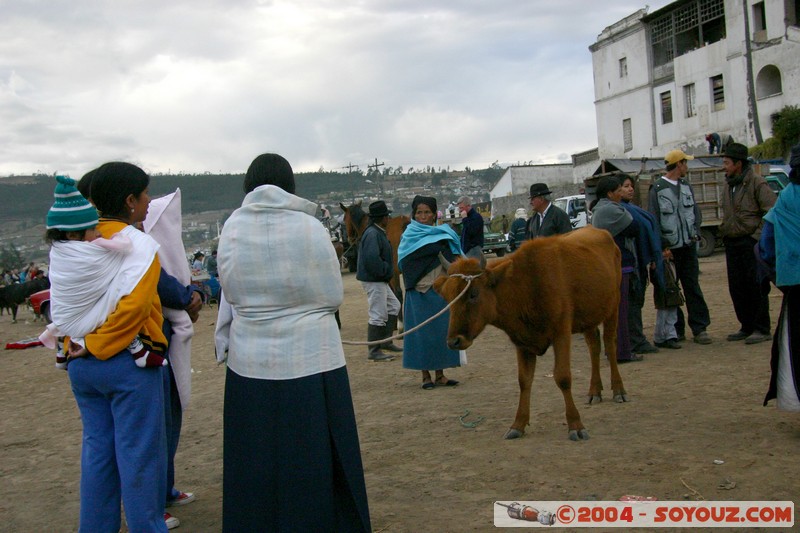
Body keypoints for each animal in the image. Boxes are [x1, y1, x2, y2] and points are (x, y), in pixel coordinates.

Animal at [434, 227, 628, 438]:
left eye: (473, 294)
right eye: (447, 297)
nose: (454, 341)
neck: (526, 283)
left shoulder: (561, 333)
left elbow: (563, 377)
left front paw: (576, 425)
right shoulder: (522, 342)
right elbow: (524, 381)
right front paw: (518, 425)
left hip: (613, 307)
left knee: (610, 343)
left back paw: (618, 390)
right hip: (589, 318)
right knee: (594, 346)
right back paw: (594, 392)